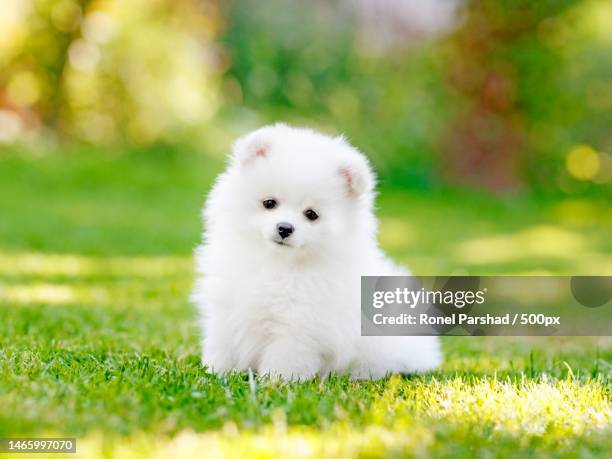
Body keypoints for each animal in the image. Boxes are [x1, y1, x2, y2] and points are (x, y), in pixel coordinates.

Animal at [191, 124, 440, 380]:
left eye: (311, 214)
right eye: (269, 203)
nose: (284, 228)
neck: (278, 264)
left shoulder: (300, 326)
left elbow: (285, 357)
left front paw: (275, 381)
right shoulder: (226, 309)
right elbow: (222, 345)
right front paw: (216, 372)